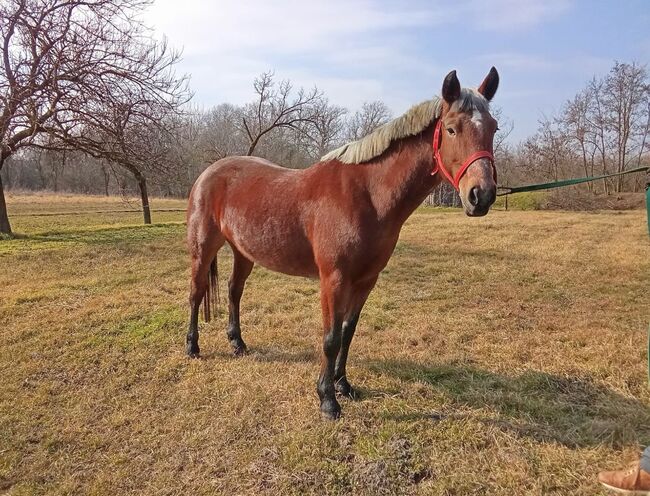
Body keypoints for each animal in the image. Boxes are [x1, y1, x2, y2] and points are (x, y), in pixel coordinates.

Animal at [185, 67, 498, 418]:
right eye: (452, 128)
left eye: (494, 128)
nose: (481, 195)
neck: (367, 195)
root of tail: (209, 172)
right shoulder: (333, 279)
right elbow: (331, 337)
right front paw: (327, 400)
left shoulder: (365, 280)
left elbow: (348, 332)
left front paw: (343, 385)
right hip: (203, 246)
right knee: (196, 292)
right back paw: (192, 346)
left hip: (243, 252)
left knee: (233, 291)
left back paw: (237, 343)